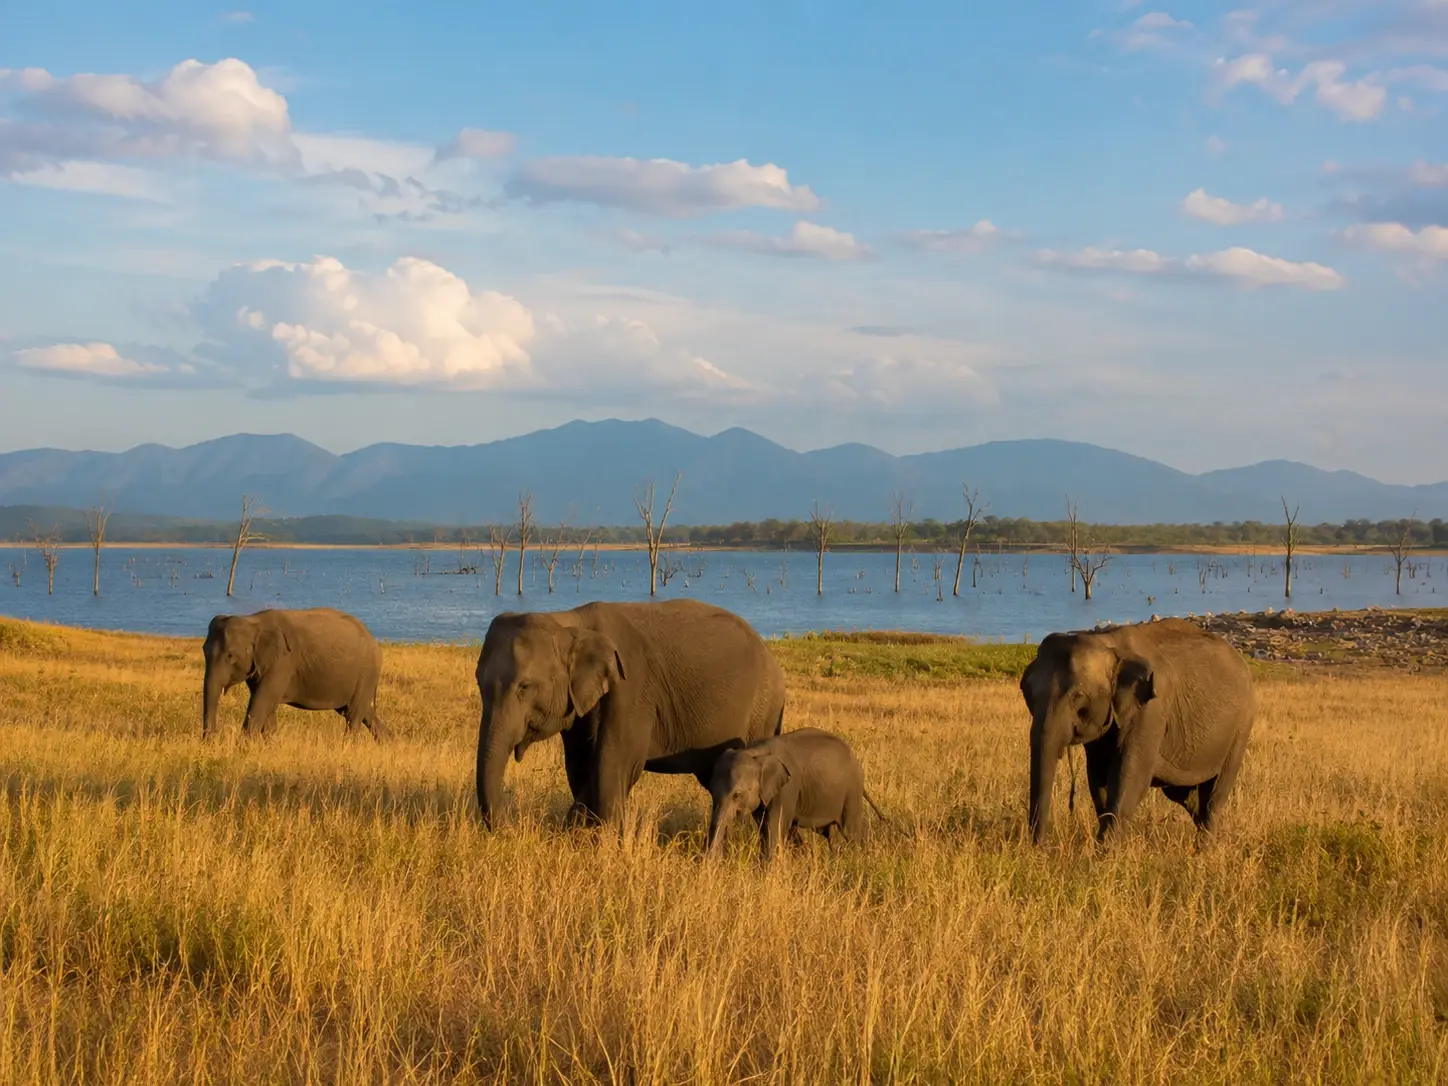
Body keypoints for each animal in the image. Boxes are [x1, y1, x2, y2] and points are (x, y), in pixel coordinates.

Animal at [202, 607, 388, 741]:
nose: (212, 739)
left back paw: (348, 746)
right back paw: (388, 743)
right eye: (204, 650)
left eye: (230, 656)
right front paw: (269, 744)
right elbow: (267, 704)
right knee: (365, 713)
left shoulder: (283, 661)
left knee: (353, 715)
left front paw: (244, 747)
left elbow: (261, 700)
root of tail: (372, 638)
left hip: (366, 673)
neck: (253, 621)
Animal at [473, 599, 786, 828]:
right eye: (479, 682)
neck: (569, 623)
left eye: (524, 686)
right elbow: (579, 766)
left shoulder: (630, 689)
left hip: (762, 711)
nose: (513, 828)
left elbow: (615, 764)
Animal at [706, 727, 885, 861]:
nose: (714, 861)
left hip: (851, 792)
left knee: (851, 832)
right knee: (831, 834)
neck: (755, 753)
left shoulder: (788, 787)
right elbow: (763, 826)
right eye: (712, 792)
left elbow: (774, 825)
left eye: (737, 795)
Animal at [1018, 617, 1254, 845]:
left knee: (1214, 795)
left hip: (1241, 728)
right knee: (1187, 796)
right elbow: (1098, 777)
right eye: (1027, 692)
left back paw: (1204, 850)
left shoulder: (1151, 710)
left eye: (1078, 696)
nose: (1040, 847)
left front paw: (1106, 852)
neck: (1108, 643)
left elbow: (1129, 776)